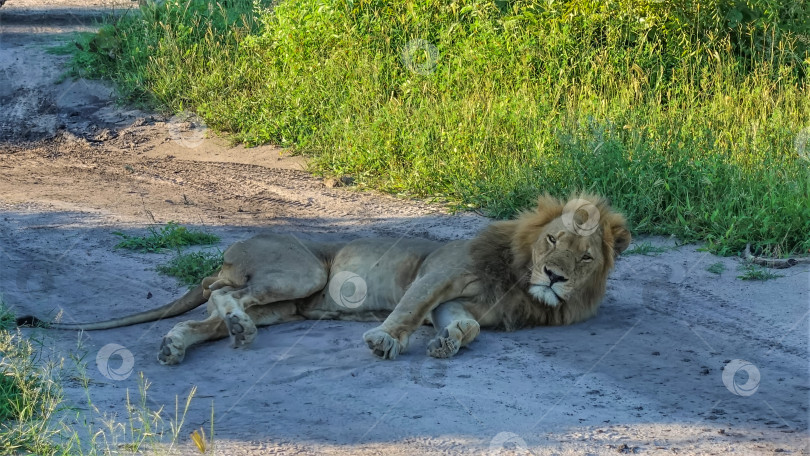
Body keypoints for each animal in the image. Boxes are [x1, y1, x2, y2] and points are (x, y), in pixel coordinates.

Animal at [15, 194, 628, 366]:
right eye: (552, 242)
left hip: (287, 303)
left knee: (214, 314)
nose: (554, 277)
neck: (518, 279)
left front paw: (446, 345)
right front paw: (384, 340)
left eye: (585, 257)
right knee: (222, 293)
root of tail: (228, 250)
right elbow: (408, 310)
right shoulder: (439, 272)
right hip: (303, 269)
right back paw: (229, 331)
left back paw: (181, 344)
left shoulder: (464, 305)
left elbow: (465, 327)